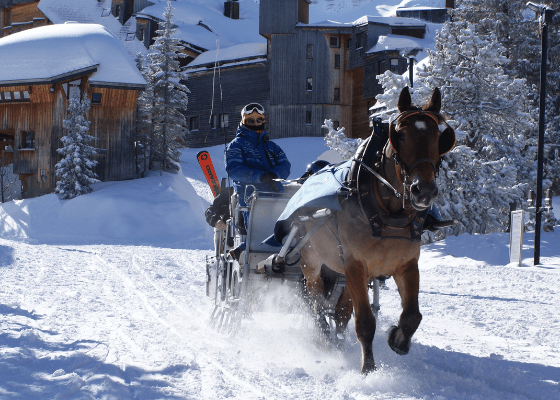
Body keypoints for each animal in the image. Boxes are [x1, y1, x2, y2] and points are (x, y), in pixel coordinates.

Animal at [298, 86, 456, 374]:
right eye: (400, 135)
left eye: (440, 137)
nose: (424, 191)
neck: (386, 215)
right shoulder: (355, 265)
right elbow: (365, 322)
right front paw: (369, 369)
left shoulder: (405, 264)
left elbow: (412, 315)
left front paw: (398, 340)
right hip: (312, 264)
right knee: (317, 304)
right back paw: (324, 336)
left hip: (342, 273)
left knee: (340, 313)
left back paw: (338, 342)